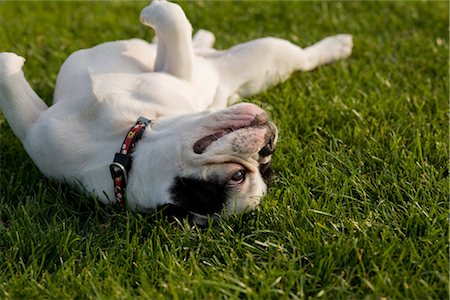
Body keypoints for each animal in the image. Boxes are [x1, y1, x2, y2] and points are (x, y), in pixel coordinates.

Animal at [0, 0, 352, 223]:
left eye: (240, 176)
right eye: (262, 165)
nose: (268, 146)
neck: (123, 143)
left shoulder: (178, 72)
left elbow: (172, 15)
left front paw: (151, 12)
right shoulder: (39, 131)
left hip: (271, 55)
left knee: (304, 58)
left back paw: (338, 45)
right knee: (193, 44)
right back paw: (202, 37)